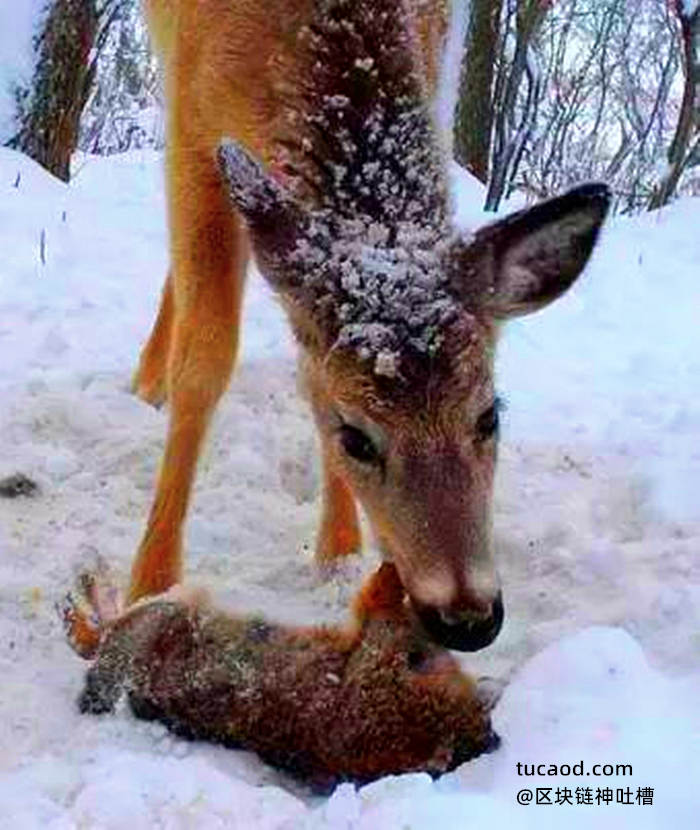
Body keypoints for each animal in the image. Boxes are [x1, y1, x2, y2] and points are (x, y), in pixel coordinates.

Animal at [129, 0, 608, 656]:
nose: (467, 618)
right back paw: (148, 382)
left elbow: (310, 368)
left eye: (490, 416)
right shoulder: (194, 123)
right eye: (356, 437)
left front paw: (339, 555)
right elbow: (206, 362)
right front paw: (147, 586)